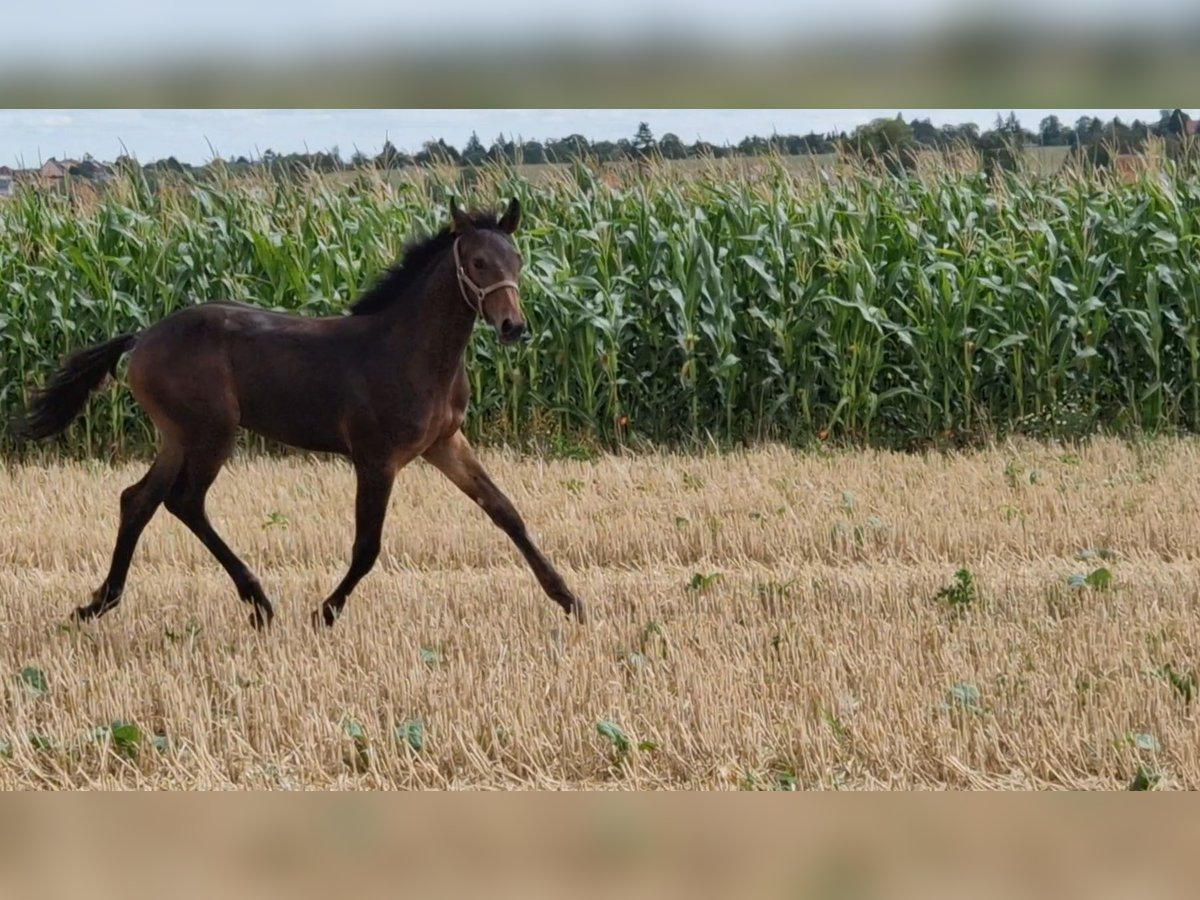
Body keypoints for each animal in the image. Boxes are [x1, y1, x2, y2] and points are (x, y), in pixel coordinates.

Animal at [12, 198, 585, 628]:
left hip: (177, 434)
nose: (514, 326)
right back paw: (258, 600)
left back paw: (99, 602)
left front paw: (569, 598)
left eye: (518, 259)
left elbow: (505, 511)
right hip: (211, 432)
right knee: (184, 501)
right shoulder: (376, 458)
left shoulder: (445, 444)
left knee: (139, 500)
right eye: (478, 262)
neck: (411, 351)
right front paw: (325, 611)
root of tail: (143, 336)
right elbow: (367, 545)